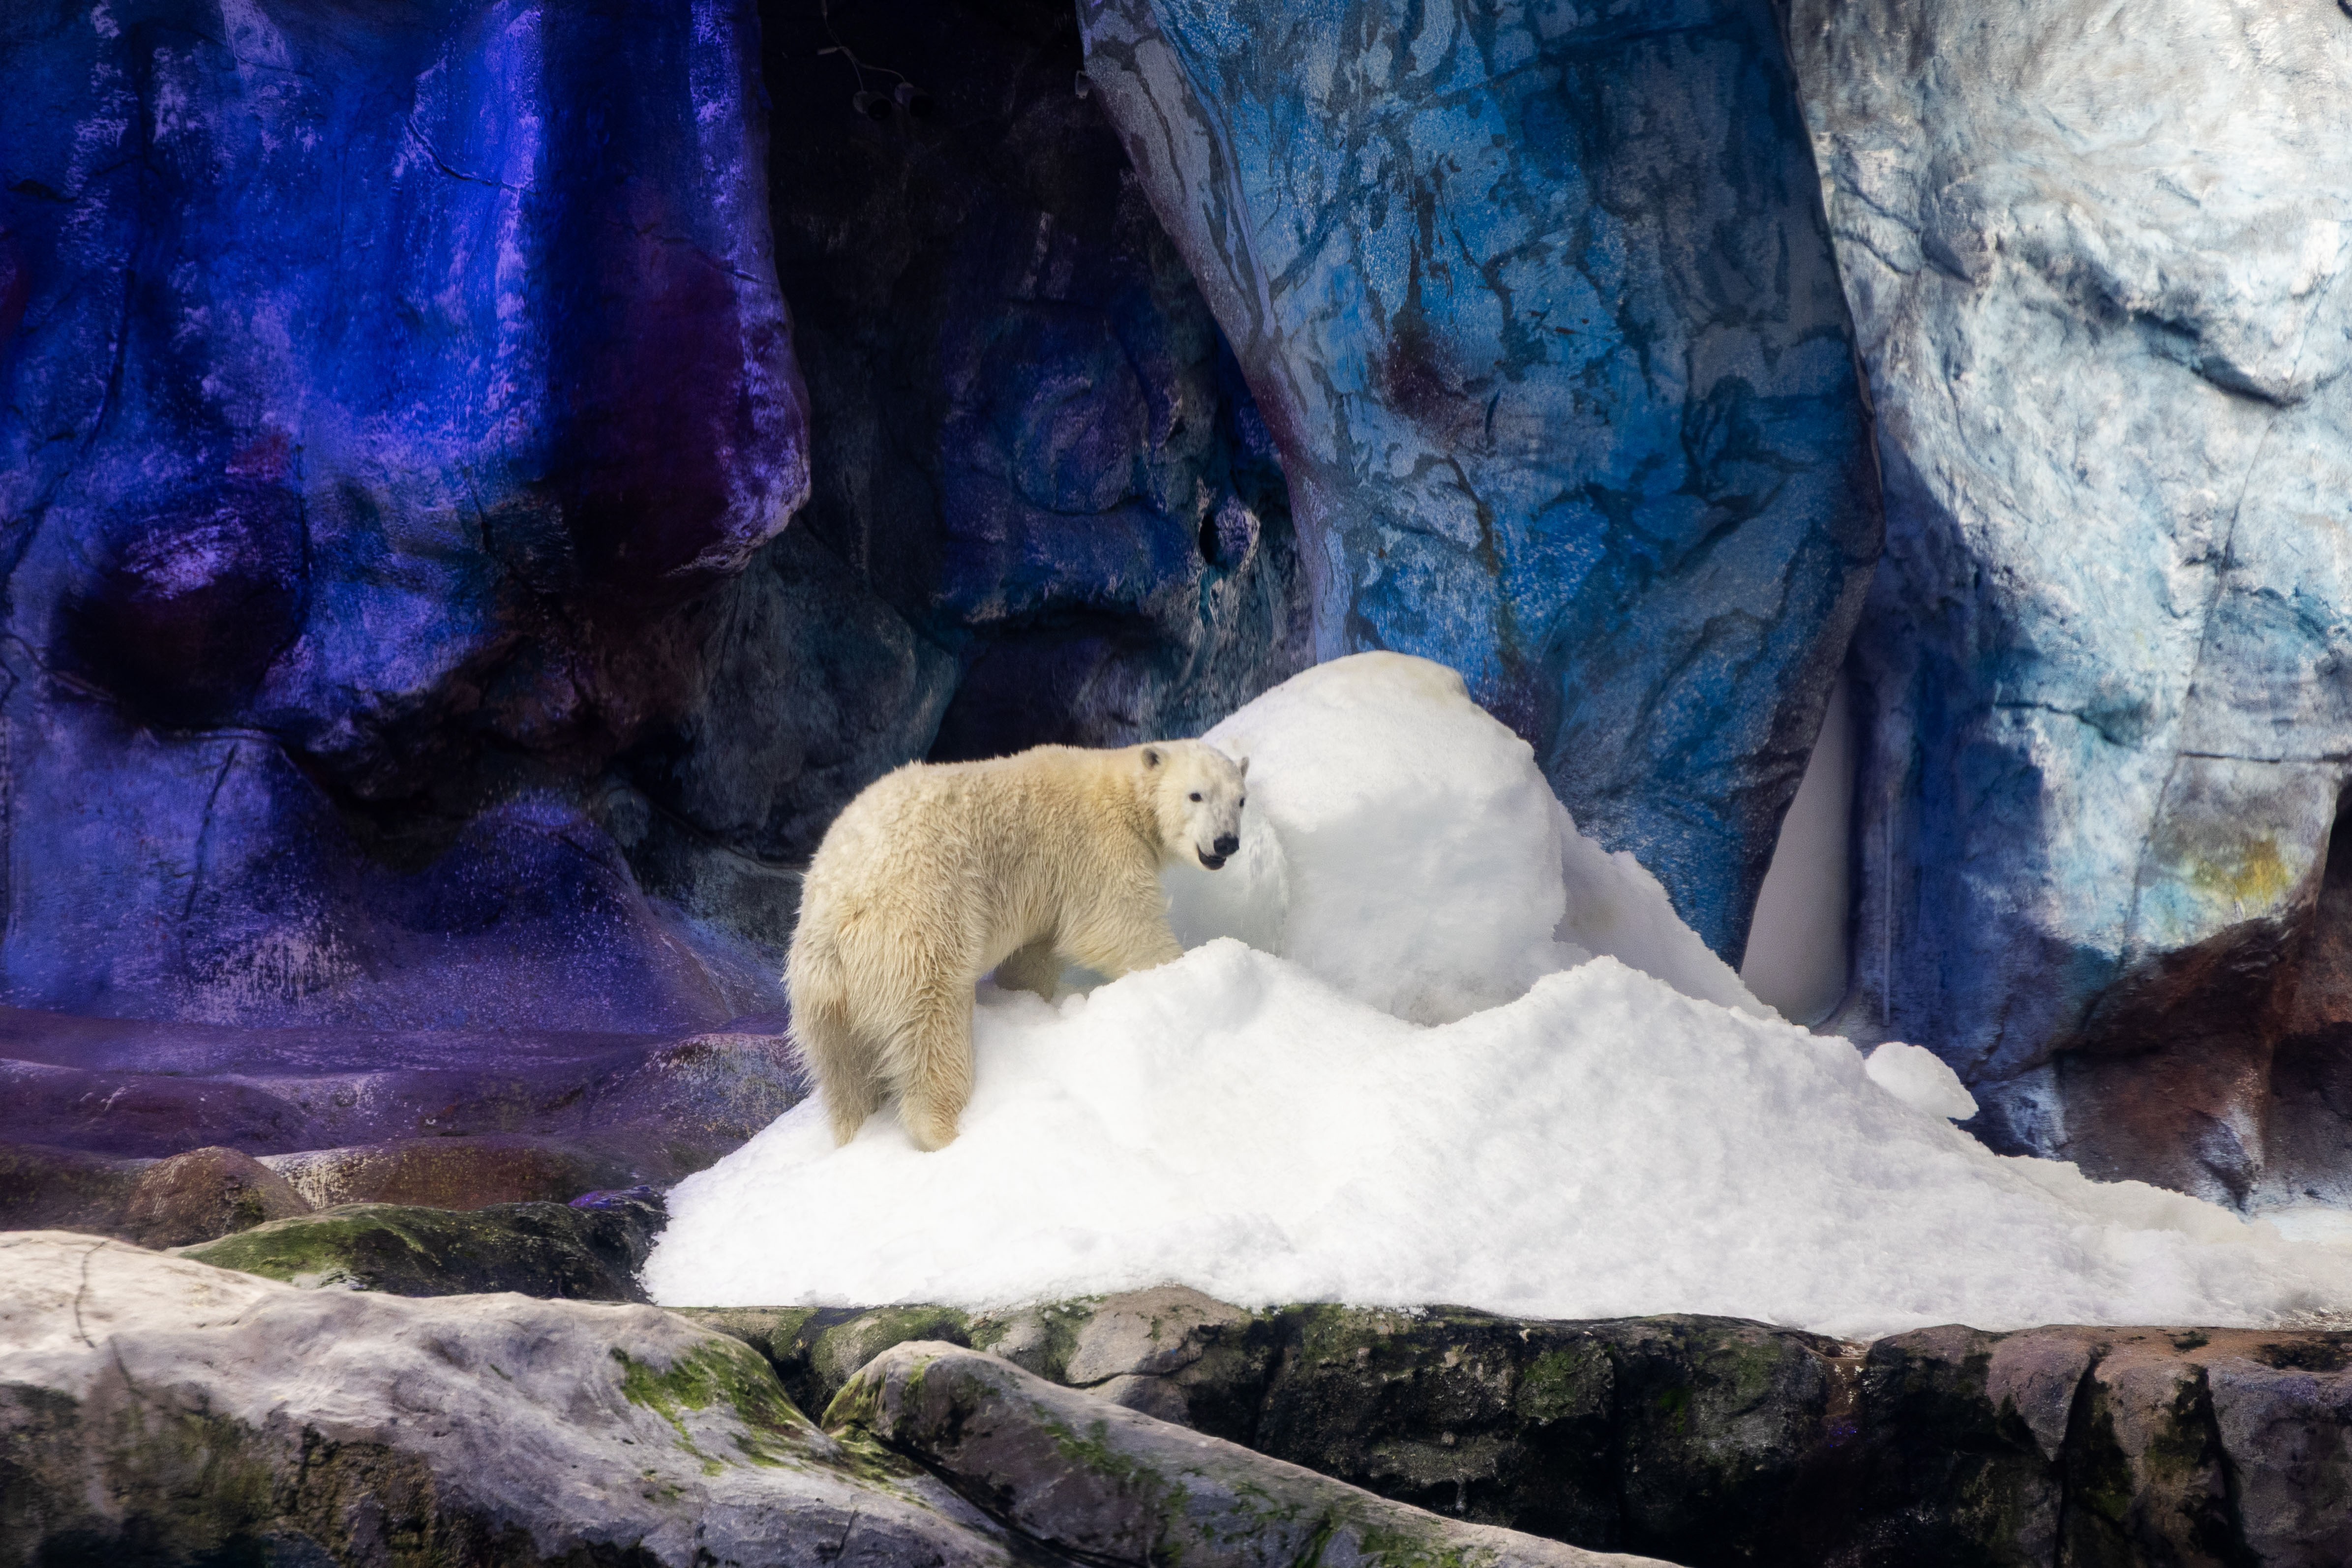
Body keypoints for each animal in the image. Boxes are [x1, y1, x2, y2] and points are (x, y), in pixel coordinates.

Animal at [787, 739, 1249, 1151]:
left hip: (822, 994)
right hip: (917, 930)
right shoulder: (1094, 846)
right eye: (1196, 794)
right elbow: (1116, 924)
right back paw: (944, 1129)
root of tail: (837, 914)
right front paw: (1184, 969)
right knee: (933, 1026)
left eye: (1241, 800)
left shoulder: (1048, 887)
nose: (1226, 842)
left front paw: (1027, 999)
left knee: (844, 1071)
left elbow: (1035, 954)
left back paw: (855, 1129)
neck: (1117, 786)